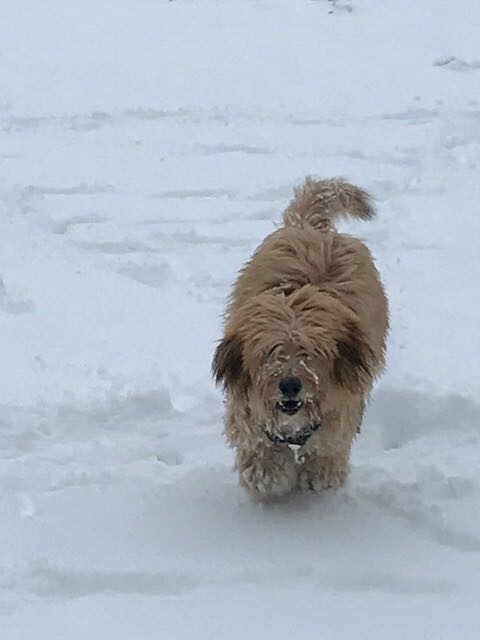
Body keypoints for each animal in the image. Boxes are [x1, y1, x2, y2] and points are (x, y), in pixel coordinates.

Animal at [214, 178, 390, 498]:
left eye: (312, 352)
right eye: (269, 352)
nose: (290, 385)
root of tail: (315, 229)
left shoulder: (341, 410)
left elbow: (327, 449)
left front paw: (320, 475)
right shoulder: (246, 413)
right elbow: (259, 453)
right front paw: (270, 476)